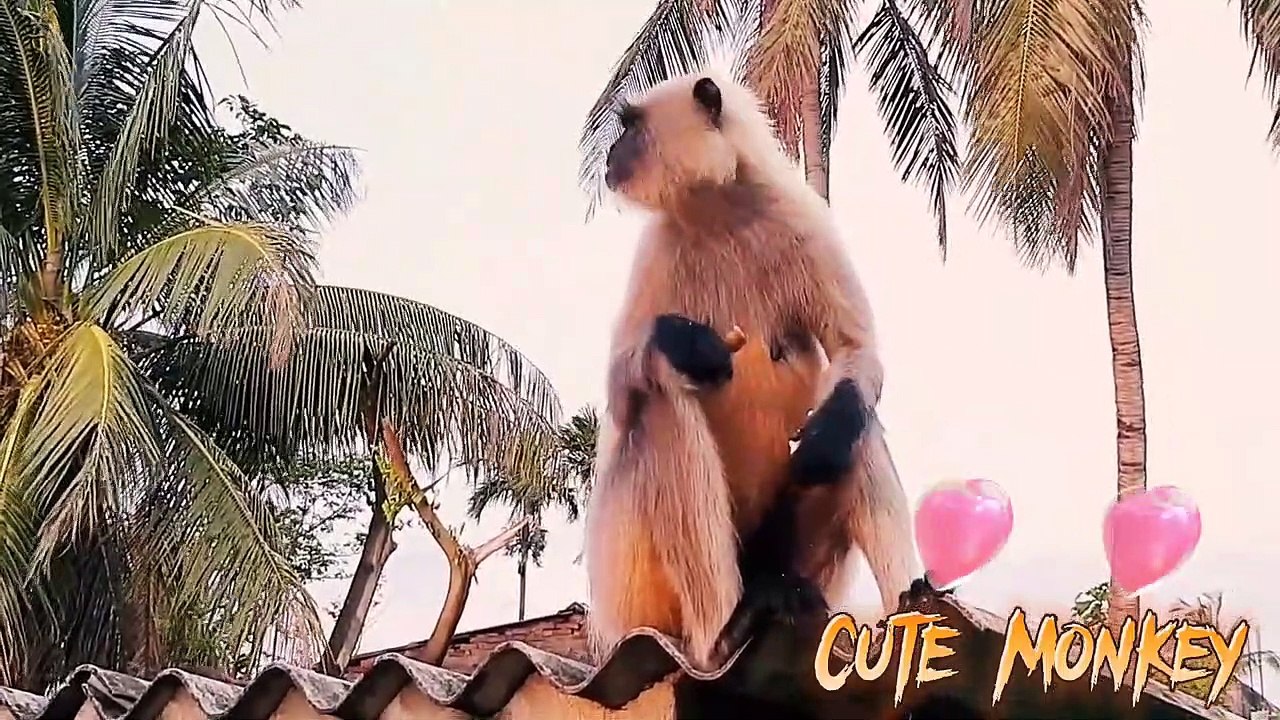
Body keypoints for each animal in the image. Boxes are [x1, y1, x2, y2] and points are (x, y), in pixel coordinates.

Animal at [581, 69, 923, 670]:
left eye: (630, 127)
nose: (612, 154)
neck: (720, 210)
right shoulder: (657, 247)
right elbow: (621, 399)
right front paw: (686, 344)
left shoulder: (802, 218)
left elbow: (856, 352)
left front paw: (824, 437)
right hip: (632, 593)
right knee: (657, 406)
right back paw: (723, 632)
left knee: (852, 416)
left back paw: (907, 605)